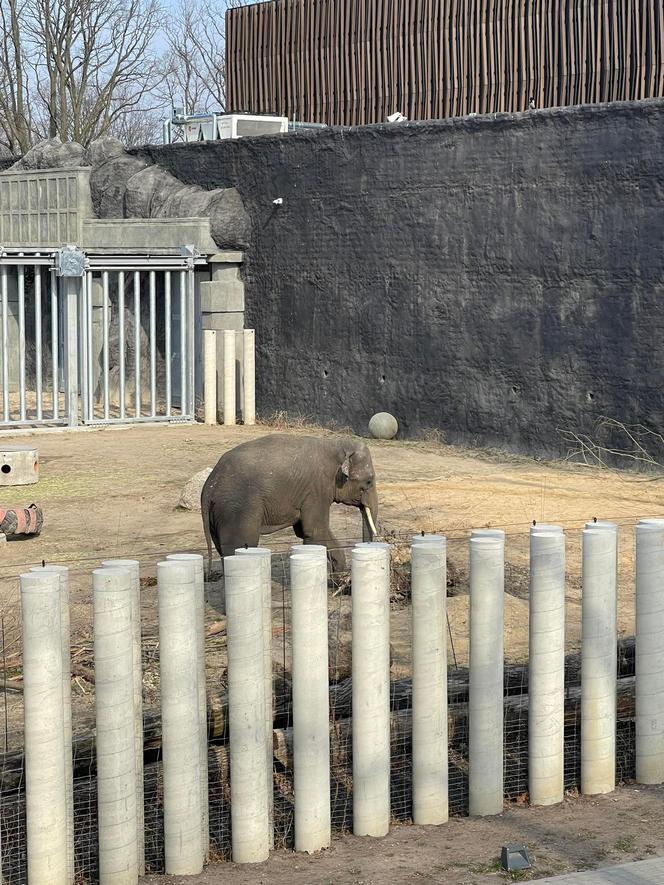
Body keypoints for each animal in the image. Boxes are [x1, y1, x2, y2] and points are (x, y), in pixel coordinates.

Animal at [201, 434, 378, 572]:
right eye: (369, 481)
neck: (337, 445)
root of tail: (209, 487)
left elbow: (310, 531)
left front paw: (339, 574)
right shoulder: (316, 490)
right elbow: (314, 531)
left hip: (218, 514)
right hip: (236, 509)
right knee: (242, 544)